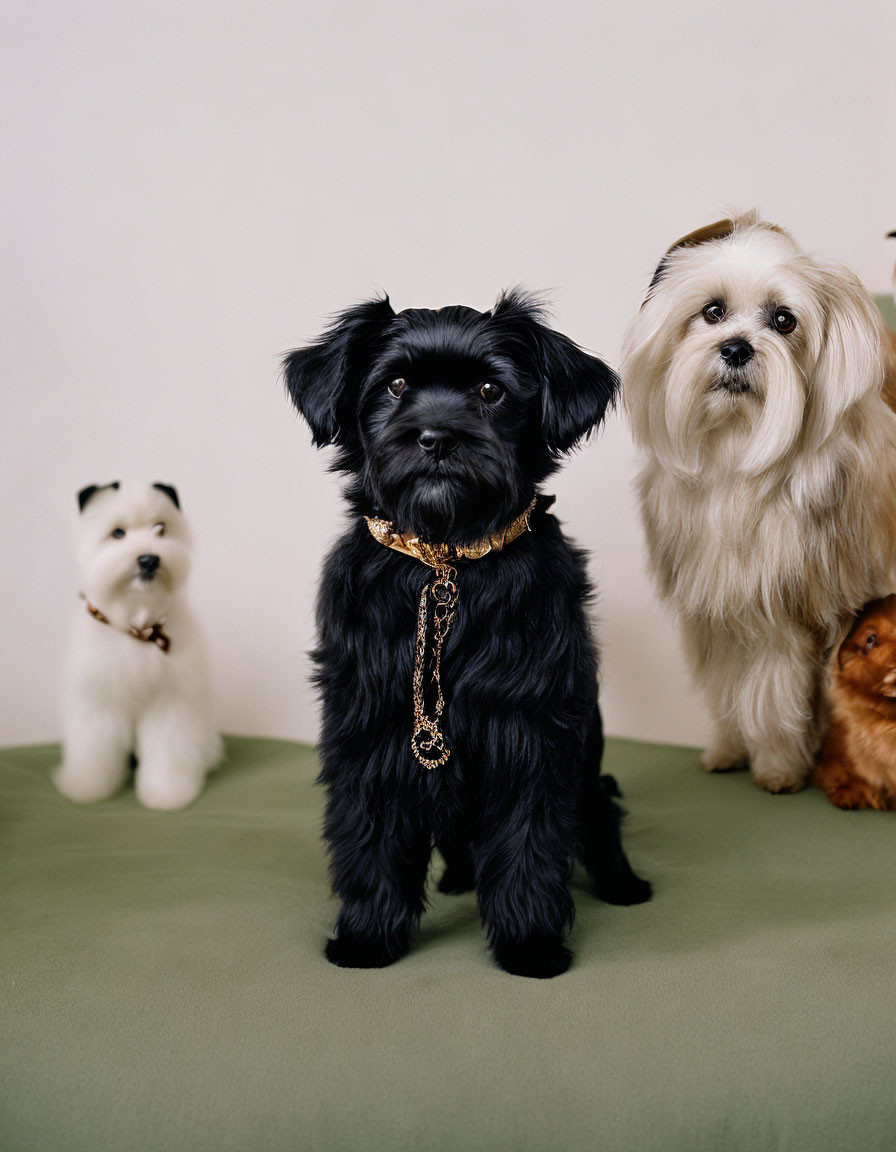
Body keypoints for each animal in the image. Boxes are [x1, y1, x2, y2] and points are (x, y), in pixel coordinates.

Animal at [54, 481, 221, 815]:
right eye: (117, 533)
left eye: (161, 529)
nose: (149, 559)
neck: (136, 625)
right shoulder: (98, 701)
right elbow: (94, 752)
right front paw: (86, 788)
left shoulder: (170, 702)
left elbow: (168, 752)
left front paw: (167, 793)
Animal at [286, 288, 649, 972]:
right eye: (395, 385)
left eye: (490, 391)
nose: (435, 438)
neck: (446, 557)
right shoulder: (371, 730)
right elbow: (371, 840)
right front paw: (367, 937)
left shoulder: (529, 731)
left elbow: (529, 844)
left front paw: (531, 943)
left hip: (587, 775)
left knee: (600, 818)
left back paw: (623, 883)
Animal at [621, 214, 893, 792]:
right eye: (713, 312)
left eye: (784, 320)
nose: (737, 348)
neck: (735, 452)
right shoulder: (719, 614)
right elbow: (729, 688)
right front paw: (728, 748)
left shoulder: (786, 615)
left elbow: (774, 697)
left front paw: (779, 767)